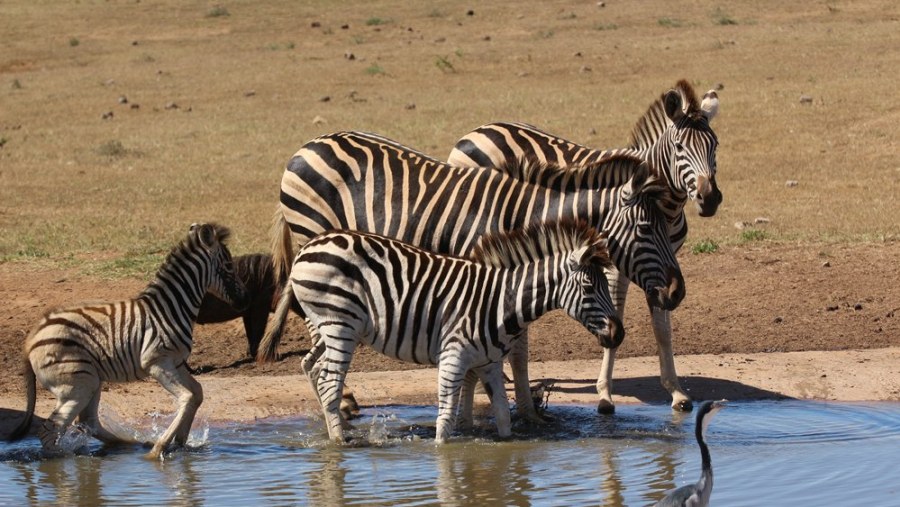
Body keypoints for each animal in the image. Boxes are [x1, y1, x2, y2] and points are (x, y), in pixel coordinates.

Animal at [7, 223, 248, 460]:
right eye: (229, 265)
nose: (244, 301)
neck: (170, 308)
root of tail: (32, 338)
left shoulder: (176, 362)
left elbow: (197, 393)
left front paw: (180, 442)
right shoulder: (157, 362)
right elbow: (187, 398)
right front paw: (160, 448)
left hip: (91, 380)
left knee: (88, 422)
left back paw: (132, 444)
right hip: (77, 385)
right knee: (50, 431)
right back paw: (62, 457)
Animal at [292, 222, 624, 444]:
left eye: (604, 284)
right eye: (589, 287)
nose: (618, 335)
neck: (501, 301)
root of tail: (309, 246)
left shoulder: (489, 363)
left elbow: (502, 415)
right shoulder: (453, 358)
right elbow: (445, 420)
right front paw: (444, 457)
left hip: (333, 329)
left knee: (313, 369)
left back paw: (337, 428)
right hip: (340, 326)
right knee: (329, 382)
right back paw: (339, 443)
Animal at [450, 79, 724, 412]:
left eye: (715, 145)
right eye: (680, 147)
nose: (709, 199)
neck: (664, 209)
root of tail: (482, 127)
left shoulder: (659, 264)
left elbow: (663, 330)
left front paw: (676, 391)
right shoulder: (620, 264)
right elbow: (617, 312)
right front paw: (605, 394)